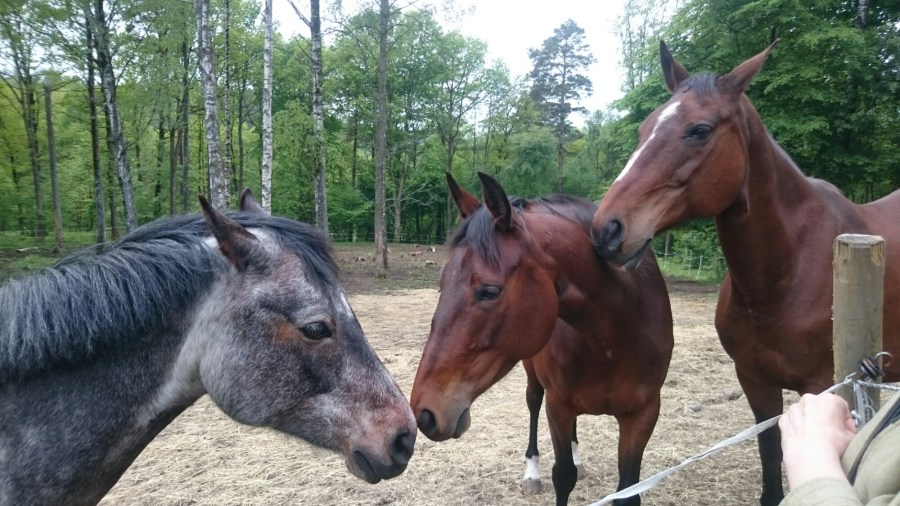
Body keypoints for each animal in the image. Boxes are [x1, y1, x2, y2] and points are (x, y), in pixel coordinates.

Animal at [410, 173, 674, 505]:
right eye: (442, 284)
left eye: (489, 291)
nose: (424, 413)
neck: (614, 337)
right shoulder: (557, 406)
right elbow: (563, 475)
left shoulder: (644, 413)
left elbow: (627, 490)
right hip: (534, 377)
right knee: (533, 403)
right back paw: (532, 473)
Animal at [591, 40, 900, 505]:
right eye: (644, 129)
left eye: (699, 130)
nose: (606, 230)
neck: (789, 269)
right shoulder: (755, 380)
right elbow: (770, 454)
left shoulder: (822, 384)